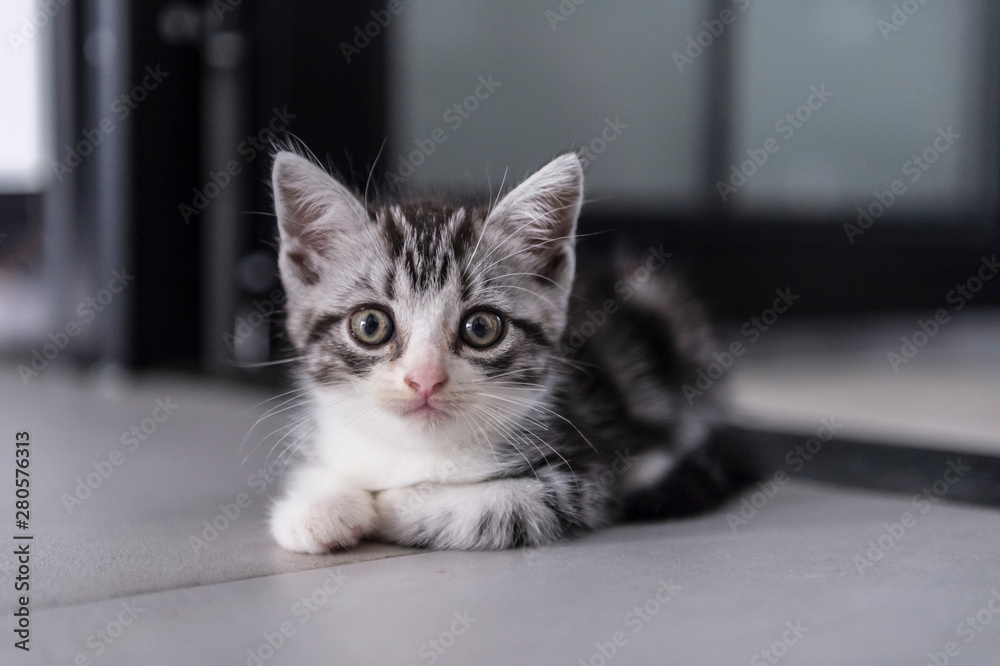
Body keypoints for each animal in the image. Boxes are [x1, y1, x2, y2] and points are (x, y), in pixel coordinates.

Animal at [270, 150, 732, 548]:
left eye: (481, 327)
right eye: (370, 325)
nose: (425, 379)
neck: (418, 450)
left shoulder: (578, 479)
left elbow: (498, 506)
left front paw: (397, 501)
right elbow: (321, 469)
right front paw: (316, 510)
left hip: (665, 306)